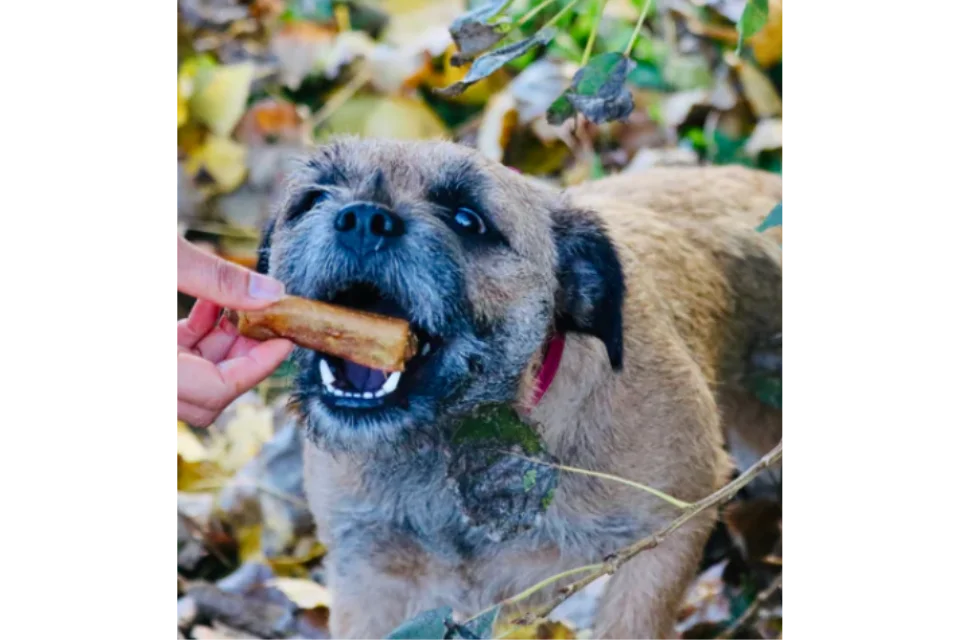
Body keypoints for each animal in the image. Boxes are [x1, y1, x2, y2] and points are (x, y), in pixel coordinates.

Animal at [255, 138, 788, 636]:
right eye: (313, 198)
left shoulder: (665, 532)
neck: (453, 450)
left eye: (468, 219)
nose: (364, 218)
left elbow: (628, 621)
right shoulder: (368, 574)